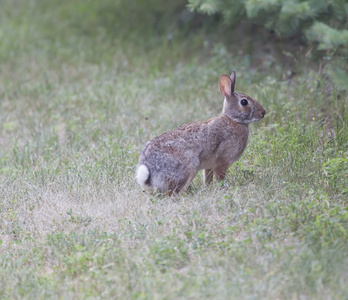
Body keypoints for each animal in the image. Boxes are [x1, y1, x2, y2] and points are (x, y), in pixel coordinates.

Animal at [136, 70, 266, 195]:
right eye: (244, 102)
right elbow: (220, 178)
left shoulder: (209, 166)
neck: (233, 120)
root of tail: (149, 170)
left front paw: (209, 187)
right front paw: (222, 189)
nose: (263, 112)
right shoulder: (221, 162)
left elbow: (208, 178)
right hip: (189, 167)